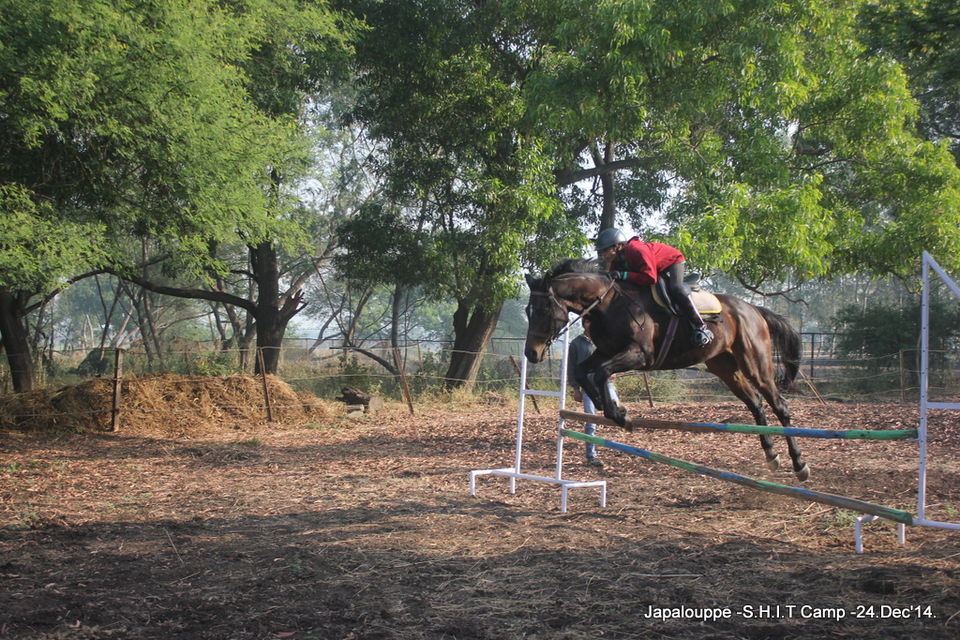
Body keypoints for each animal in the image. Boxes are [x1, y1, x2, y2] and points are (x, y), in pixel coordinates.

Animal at [524, 260, 808, 480]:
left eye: (543, 309)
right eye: (528, 310)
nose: (531, 354)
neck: (608, 303)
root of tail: (753, 309)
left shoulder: (639, 355)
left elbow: (603, 372)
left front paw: (619, 415)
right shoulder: (605, 352)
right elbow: (584, 371)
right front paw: (605, 406)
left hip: (754, 363)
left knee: (779, 405)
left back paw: (799, 465)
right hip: (725, 367)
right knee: (756, 403)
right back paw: (772, 456)